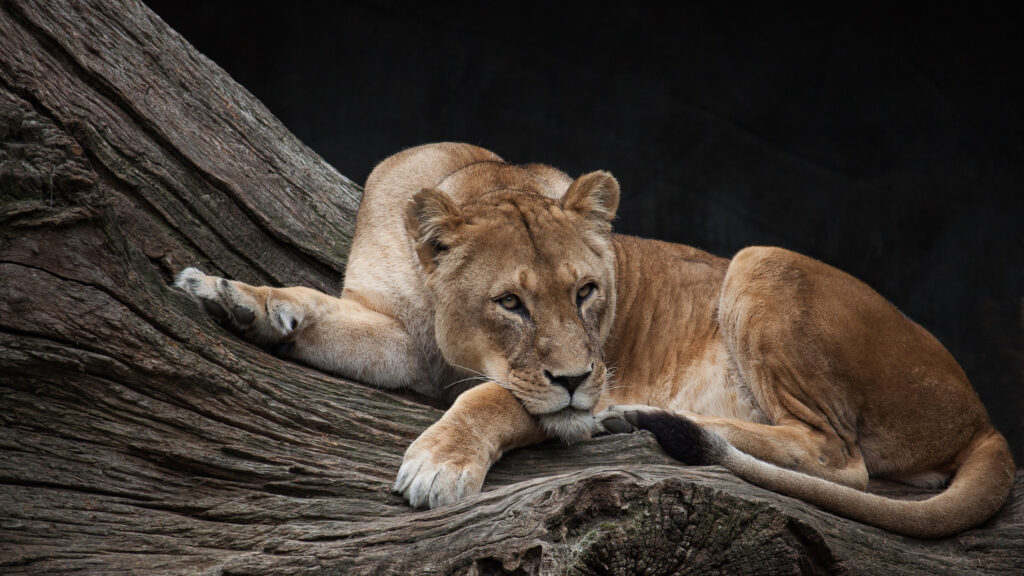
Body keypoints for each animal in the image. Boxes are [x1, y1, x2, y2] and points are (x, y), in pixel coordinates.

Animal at [176, 142, 1014, 538]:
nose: (583, 381)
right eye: (510, 302)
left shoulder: (538, 393)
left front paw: (440, 466)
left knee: (840, 459)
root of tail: (986, 417)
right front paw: (232, 297)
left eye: (586, 292)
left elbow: (492, 399)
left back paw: (635, 417)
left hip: (760, 259)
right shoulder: (394, 335)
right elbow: (315, 309)